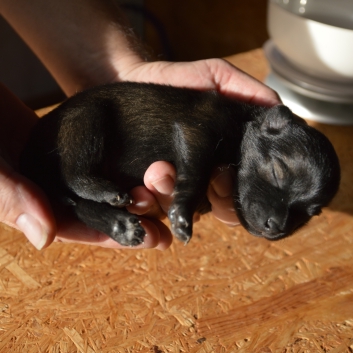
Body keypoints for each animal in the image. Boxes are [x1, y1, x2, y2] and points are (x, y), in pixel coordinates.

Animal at [19, 82, 338, 245]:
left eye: (309, 213)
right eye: (276, 172)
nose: (277, 227)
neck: (243, 120)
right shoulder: (196, 130)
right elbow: (195, 174)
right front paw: (182, 215)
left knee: (77, 204)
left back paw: (121, 226)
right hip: (86, 119)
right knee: (73, 175)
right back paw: (107, 192)